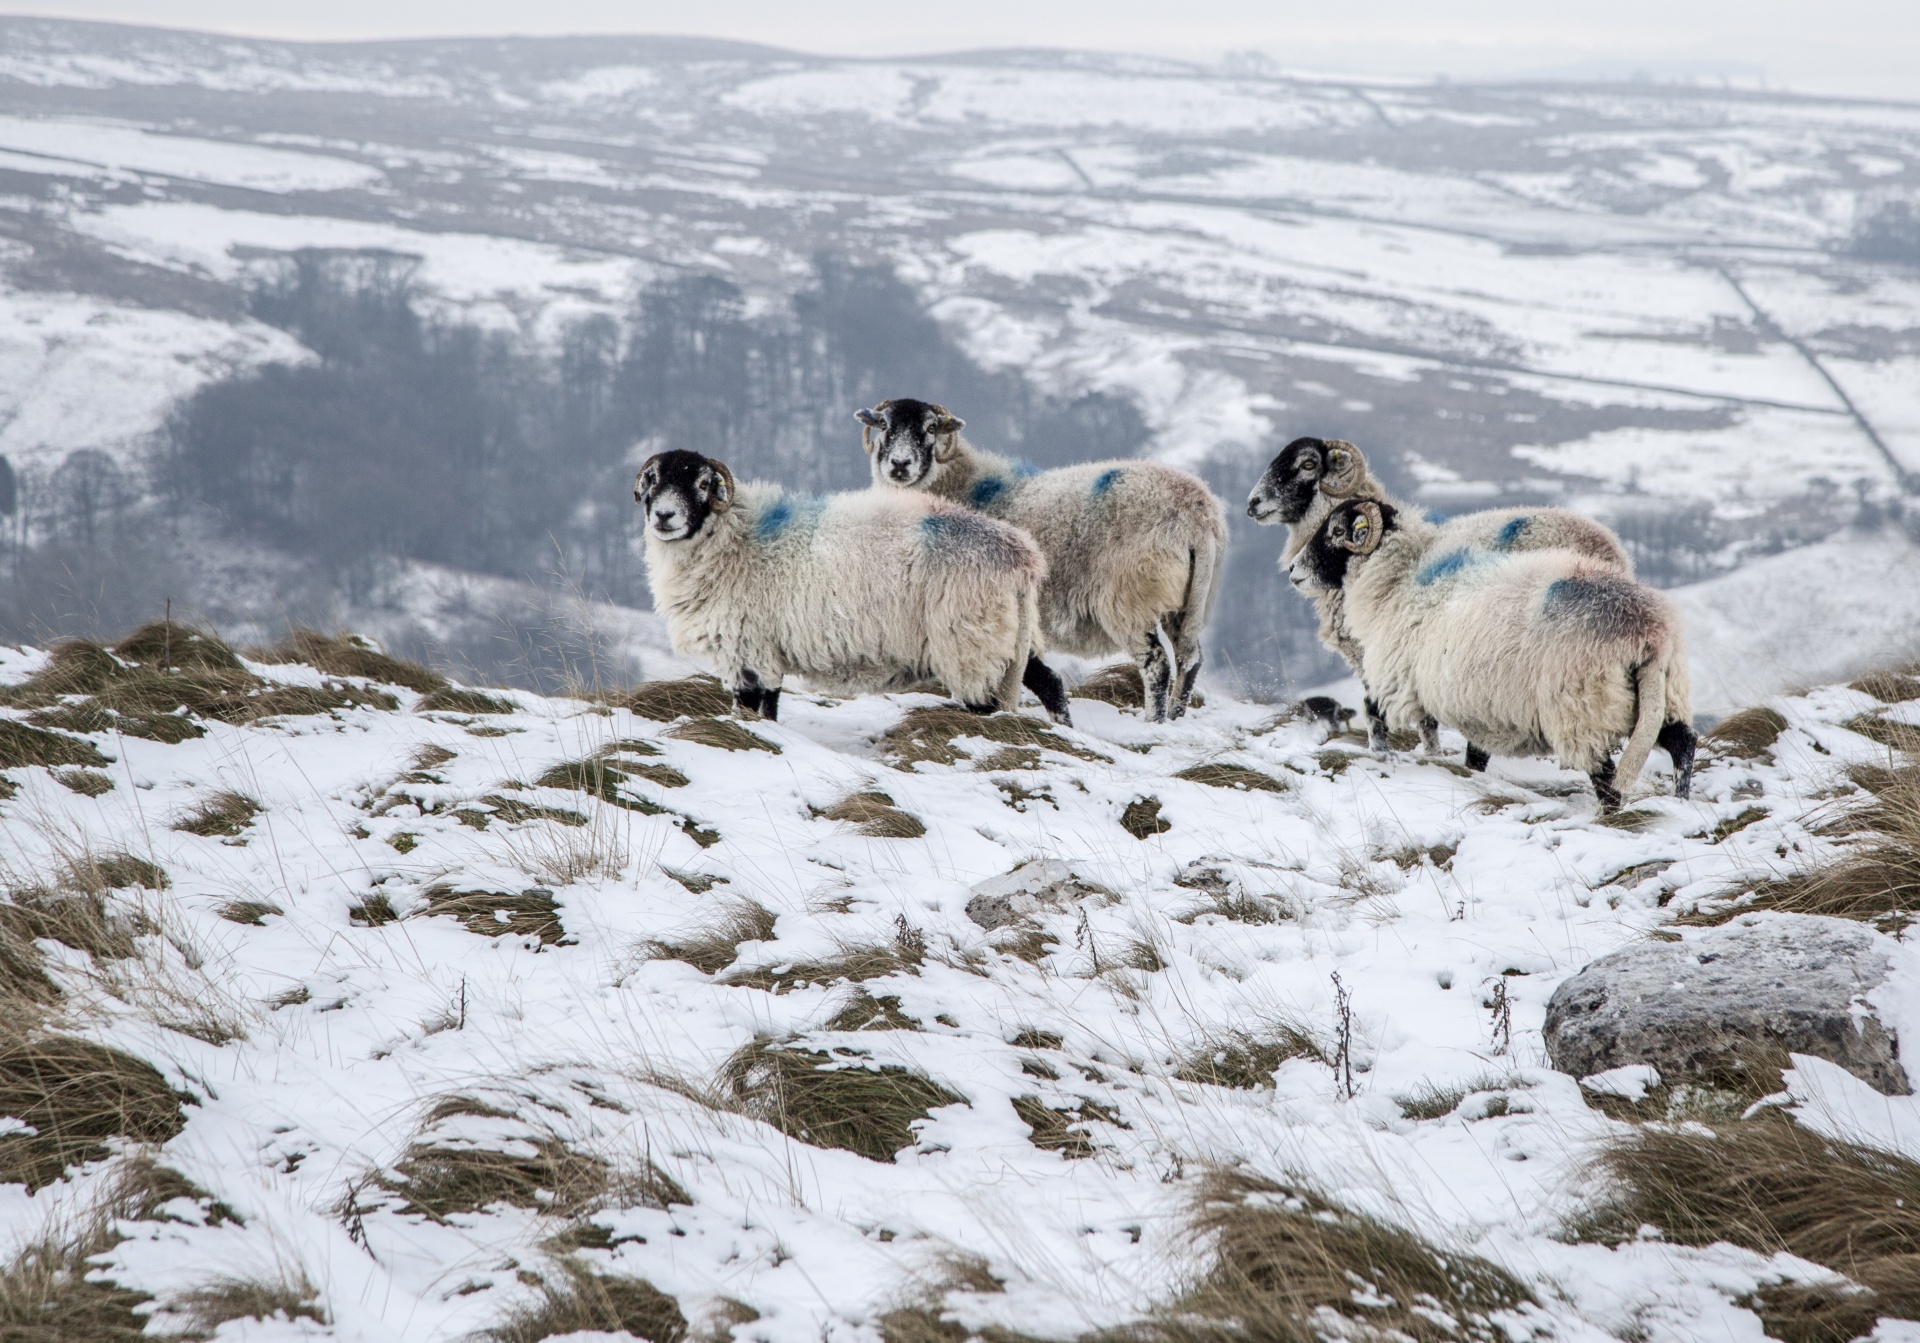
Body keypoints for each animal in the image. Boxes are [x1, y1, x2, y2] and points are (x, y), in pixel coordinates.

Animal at [633, 451, 1075, 726]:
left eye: (703, 484)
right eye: (652, 480)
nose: (664, 516)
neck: (736, 540)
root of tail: (1022, 556)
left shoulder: (747, 646)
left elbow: (750, 706)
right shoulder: (766, 650)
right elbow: (770, 707)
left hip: (970, 642)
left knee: (987, 703)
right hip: (1007, 637)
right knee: (1050, 683)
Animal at [860, 395, 1228, 726]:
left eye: (931, 428)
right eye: (884, 425)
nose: (899, 465)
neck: (961, 485)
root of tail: (1199, 513)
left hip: (1131, 597)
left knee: (1156, 664)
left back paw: (1155, 721)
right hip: (1189, 601)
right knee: (1189, 659)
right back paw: (1176, 716)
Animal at [1244, 434, 1635, 760]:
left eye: (1308, 464)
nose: (1253, 503)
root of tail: (1613, 550)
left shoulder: (1387, 652)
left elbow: (1391, 713)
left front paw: (1410, 754)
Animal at [1290, 495, 1697, 803]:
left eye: (1336, 531)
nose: (1293, 570)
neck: (1400, 578)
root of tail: (1649, 636)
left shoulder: (1396, 679)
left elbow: (1376, 714)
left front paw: (1383, 756)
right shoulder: (1482, 706)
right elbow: (1472, 753)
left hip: (1581, 712)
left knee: (1606, 779)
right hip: (1661, 697)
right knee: (1683, 743)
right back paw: (1681, 801)